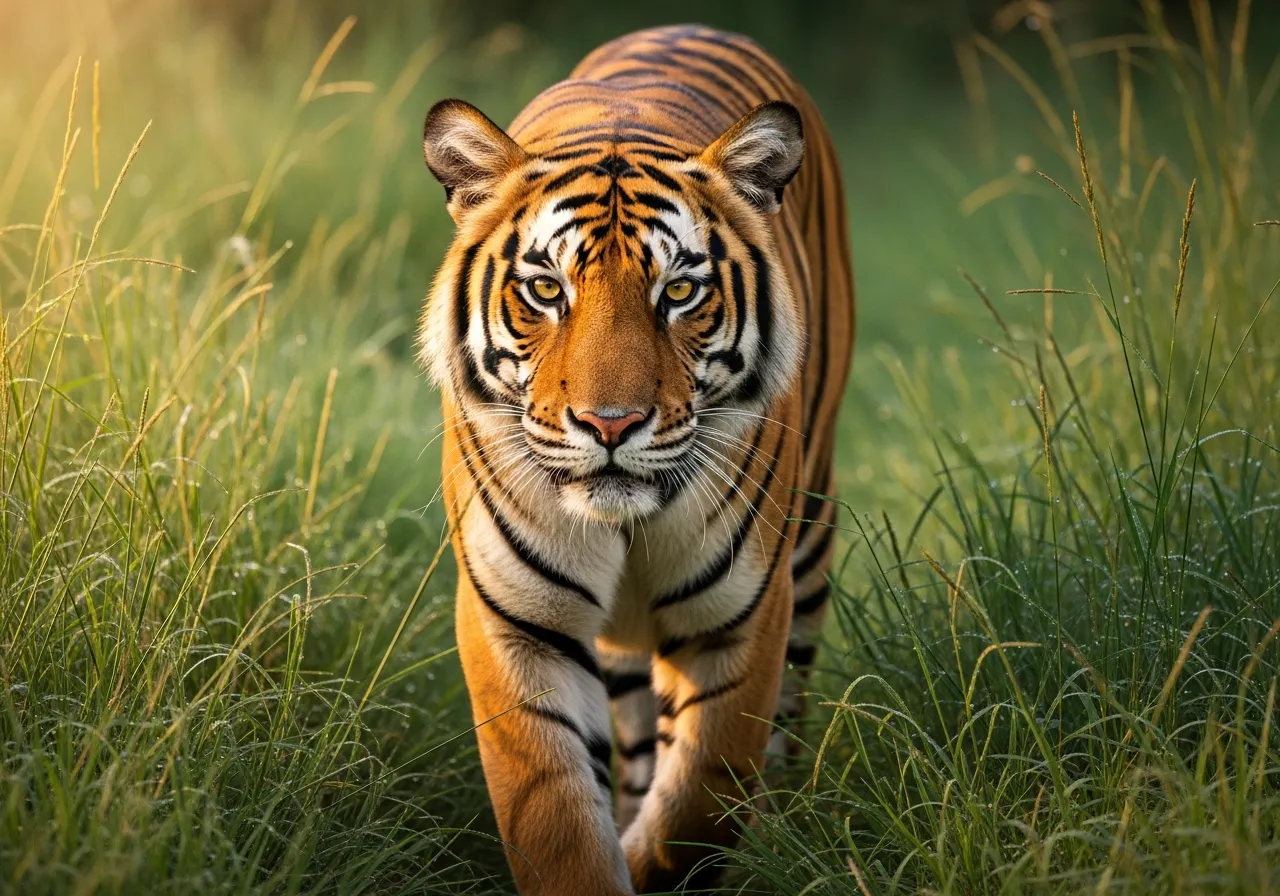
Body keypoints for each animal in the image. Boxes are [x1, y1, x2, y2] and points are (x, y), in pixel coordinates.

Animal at [418, 23, 854, 895]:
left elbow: (702, 800)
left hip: (811, 542)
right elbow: (557, 821)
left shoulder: (741, 616)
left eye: (679, 293)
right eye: (546, 290)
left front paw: (662, 857)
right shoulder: (515, 621)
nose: (609, 424)